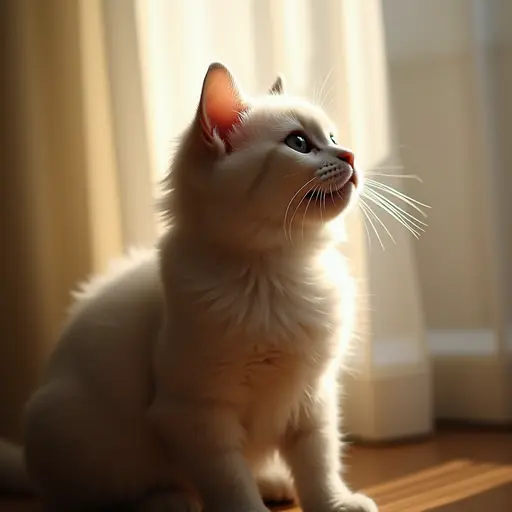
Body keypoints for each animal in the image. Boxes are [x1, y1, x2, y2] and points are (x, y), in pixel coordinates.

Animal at [0, 62, 376, 510]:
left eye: (333, 138)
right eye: (299, 142)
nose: (350, 155)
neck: (277, 272)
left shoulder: (312, 398)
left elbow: (318, 465)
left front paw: (336, 503)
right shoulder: (194, 414)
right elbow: (232, 485)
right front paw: (250, 506)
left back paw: (271, 482)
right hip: (75, 430)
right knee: (103, 496)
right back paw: (169, 500)